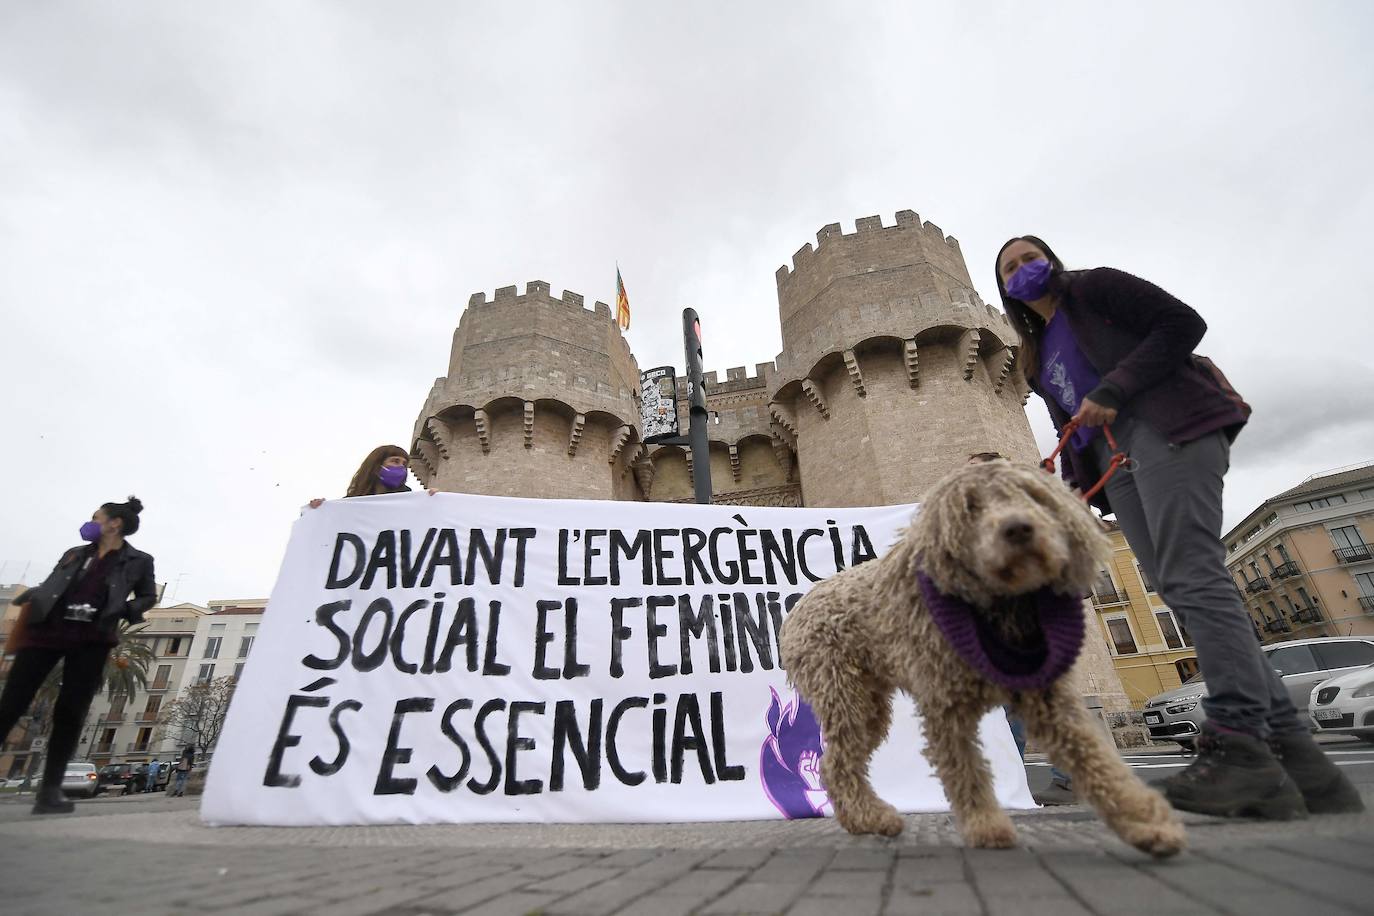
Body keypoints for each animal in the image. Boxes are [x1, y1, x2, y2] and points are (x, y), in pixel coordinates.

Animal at [780, 461, 1187, 856]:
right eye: (970, 508)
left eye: (1032, 496)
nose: (1018, 529)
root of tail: (796, 614)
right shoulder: (945, 705)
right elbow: (966, 773)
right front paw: (986, 826)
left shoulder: (1048, 700)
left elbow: (1096, 759)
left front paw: (1144, 822)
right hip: (846, 697)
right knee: (836, 764)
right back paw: (870, 818)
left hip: (869, 706)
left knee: (840, 763)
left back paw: (868, 819)